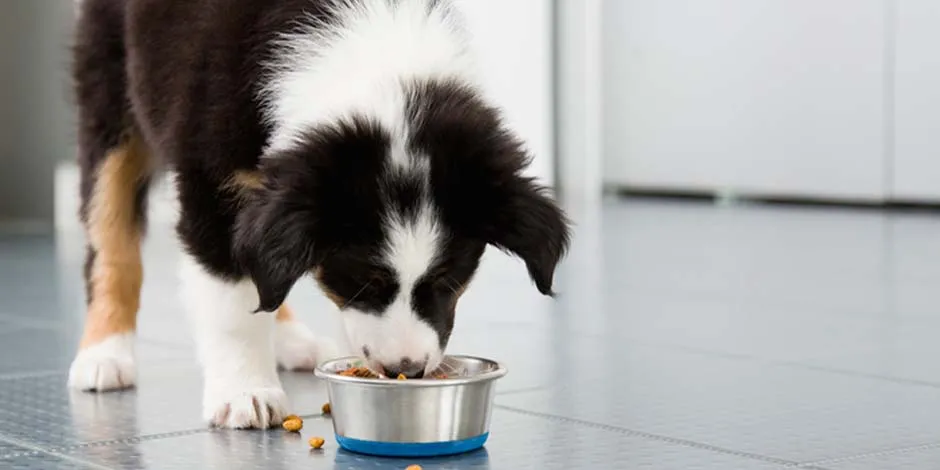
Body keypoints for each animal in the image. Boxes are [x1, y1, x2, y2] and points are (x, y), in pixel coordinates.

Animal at [70, 0, 568, 428]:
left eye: (448, 280)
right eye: (363, 280)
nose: (406, 369)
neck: (374, 59)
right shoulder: (212, 184)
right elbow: (231, 303)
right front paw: (244, 393)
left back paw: (295, 342)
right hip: (109, 90)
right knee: (111, 237)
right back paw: (103, 355)